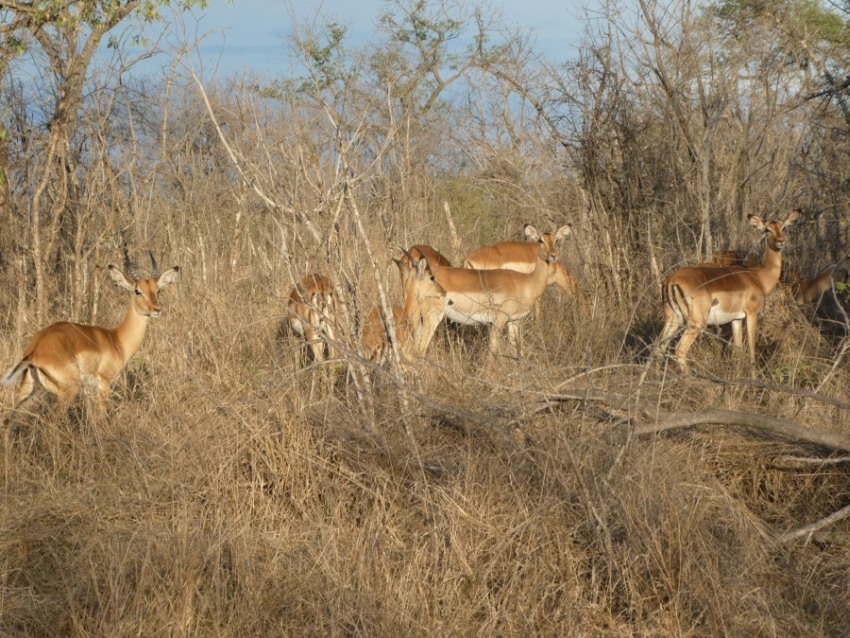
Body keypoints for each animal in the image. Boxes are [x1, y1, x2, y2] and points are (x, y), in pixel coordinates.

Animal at [1, 248, 180, 414]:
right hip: (68, 392)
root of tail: (35, 349)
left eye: (157, 290)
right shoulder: (105, 384)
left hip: (26, 392)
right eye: (138, 291)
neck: (117, 340)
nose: (157, 310)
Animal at [428, 224, 571, 355]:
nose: (554, 255)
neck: (527, 282)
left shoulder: (513, 320)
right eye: (541, 240)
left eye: (556, 240)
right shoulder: (500, 320)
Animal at [658, 210, 799, 373]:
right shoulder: (752, 314)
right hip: (696, 323)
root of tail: (671, 279)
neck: (759, 276)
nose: (780, 242)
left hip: (673, 319)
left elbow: (738, 350)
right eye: (767, 230)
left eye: (783, 228)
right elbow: (751, 348)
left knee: (659, 347)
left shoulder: (736, 319)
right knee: (680, 349)